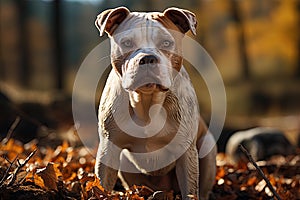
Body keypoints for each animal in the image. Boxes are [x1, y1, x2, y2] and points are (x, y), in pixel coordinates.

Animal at [95, 7, 217, 199]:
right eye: (127, 43)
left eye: (166, 43)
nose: (147, 58)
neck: (146, 102)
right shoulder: (109, 148)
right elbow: (102, 186)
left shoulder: (185, 152)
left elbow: (190, 190)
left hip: (208, 148)